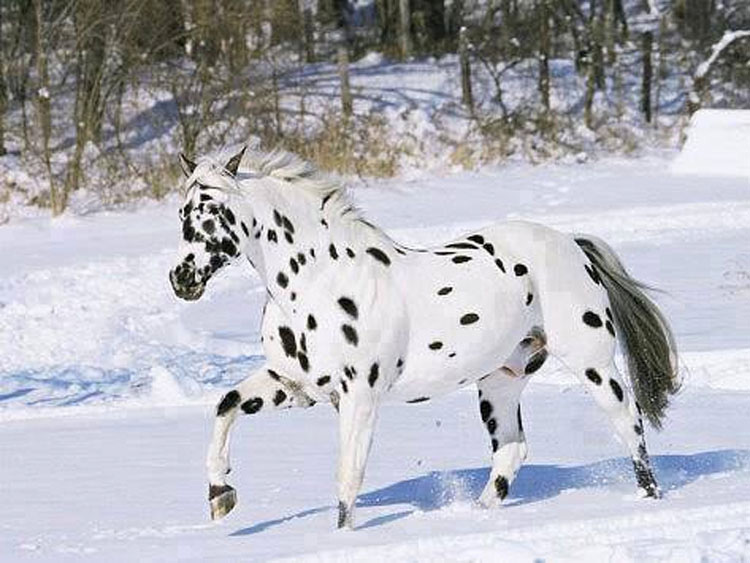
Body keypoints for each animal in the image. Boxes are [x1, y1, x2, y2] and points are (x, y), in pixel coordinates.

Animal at [169, 144, 680, 528]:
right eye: (183, 213)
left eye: (213, 211)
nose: (182, 279)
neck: (319, 279)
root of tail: (571, 244)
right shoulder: (294, 386)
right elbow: (226, 406)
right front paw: (221, 495)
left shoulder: (359, 397)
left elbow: (347, 478)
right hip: (500, 382)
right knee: (512, 451)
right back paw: (476, 515)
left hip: (594, 364)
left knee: (629, 424)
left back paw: (649, 500)